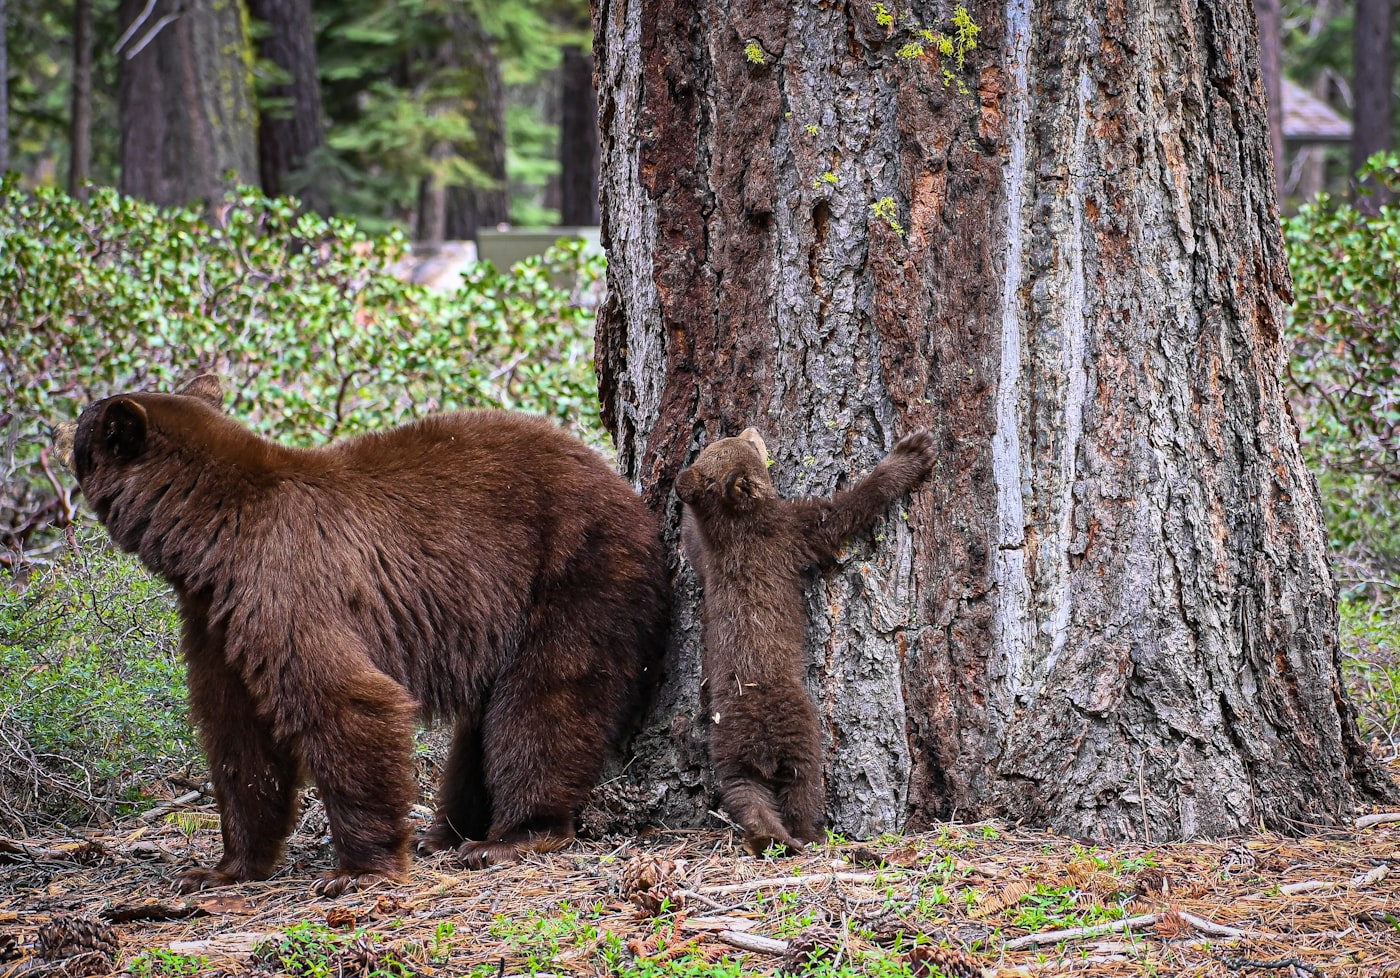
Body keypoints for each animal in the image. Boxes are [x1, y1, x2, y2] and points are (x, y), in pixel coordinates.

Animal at [55, 375, 670, 896]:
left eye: (84, 422)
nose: (59, 430)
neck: (212, 540)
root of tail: (626, 488)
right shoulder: (217, 618)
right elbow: (239, 736)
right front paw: (221, 868)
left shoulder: (287, 583)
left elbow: (346, 701)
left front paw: (358, 869)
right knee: (481, 727)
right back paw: (445, 833)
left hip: (579, 571)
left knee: (545, 701)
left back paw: (512, 835)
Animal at [675, 427, 935, 854]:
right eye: (749, 447)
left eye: (733, 442)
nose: (751, 428)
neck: (737, 529)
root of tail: (759, 745)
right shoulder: (789, 532)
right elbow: (841, 511)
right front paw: (913, 452)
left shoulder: (711, 559)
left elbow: (692, 544)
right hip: (801, 735)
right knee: (802, 785)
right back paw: (810, 835)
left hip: (728, 751)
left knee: (745, 795)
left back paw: (766, 836)